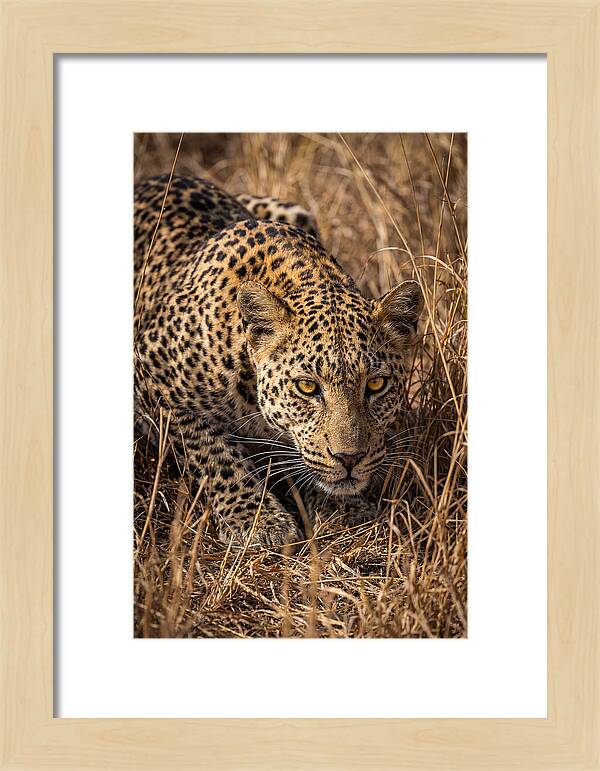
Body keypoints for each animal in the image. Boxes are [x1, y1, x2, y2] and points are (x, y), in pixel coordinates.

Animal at [134, 174, 423, 548]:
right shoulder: (150, 376)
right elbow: (212, 452)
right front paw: (257, 520)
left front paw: (343, 510)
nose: (349, 458)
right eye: (307, 387)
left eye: (376, 384)